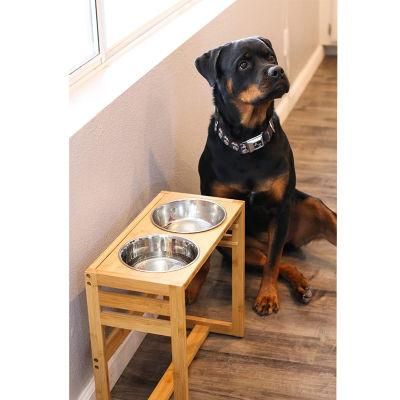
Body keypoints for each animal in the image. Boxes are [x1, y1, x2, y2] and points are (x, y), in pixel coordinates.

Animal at [186, 36, 336, 316]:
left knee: (277, 255)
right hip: (240, 246)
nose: (277, 71)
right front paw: (193, 286)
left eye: (270, 57)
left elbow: (273, 263)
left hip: (312, 208)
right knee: (272, 259)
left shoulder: (281, 209)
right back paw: (300, 283)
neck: (248, 140)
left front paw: (266, 296)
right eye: (243, 64)